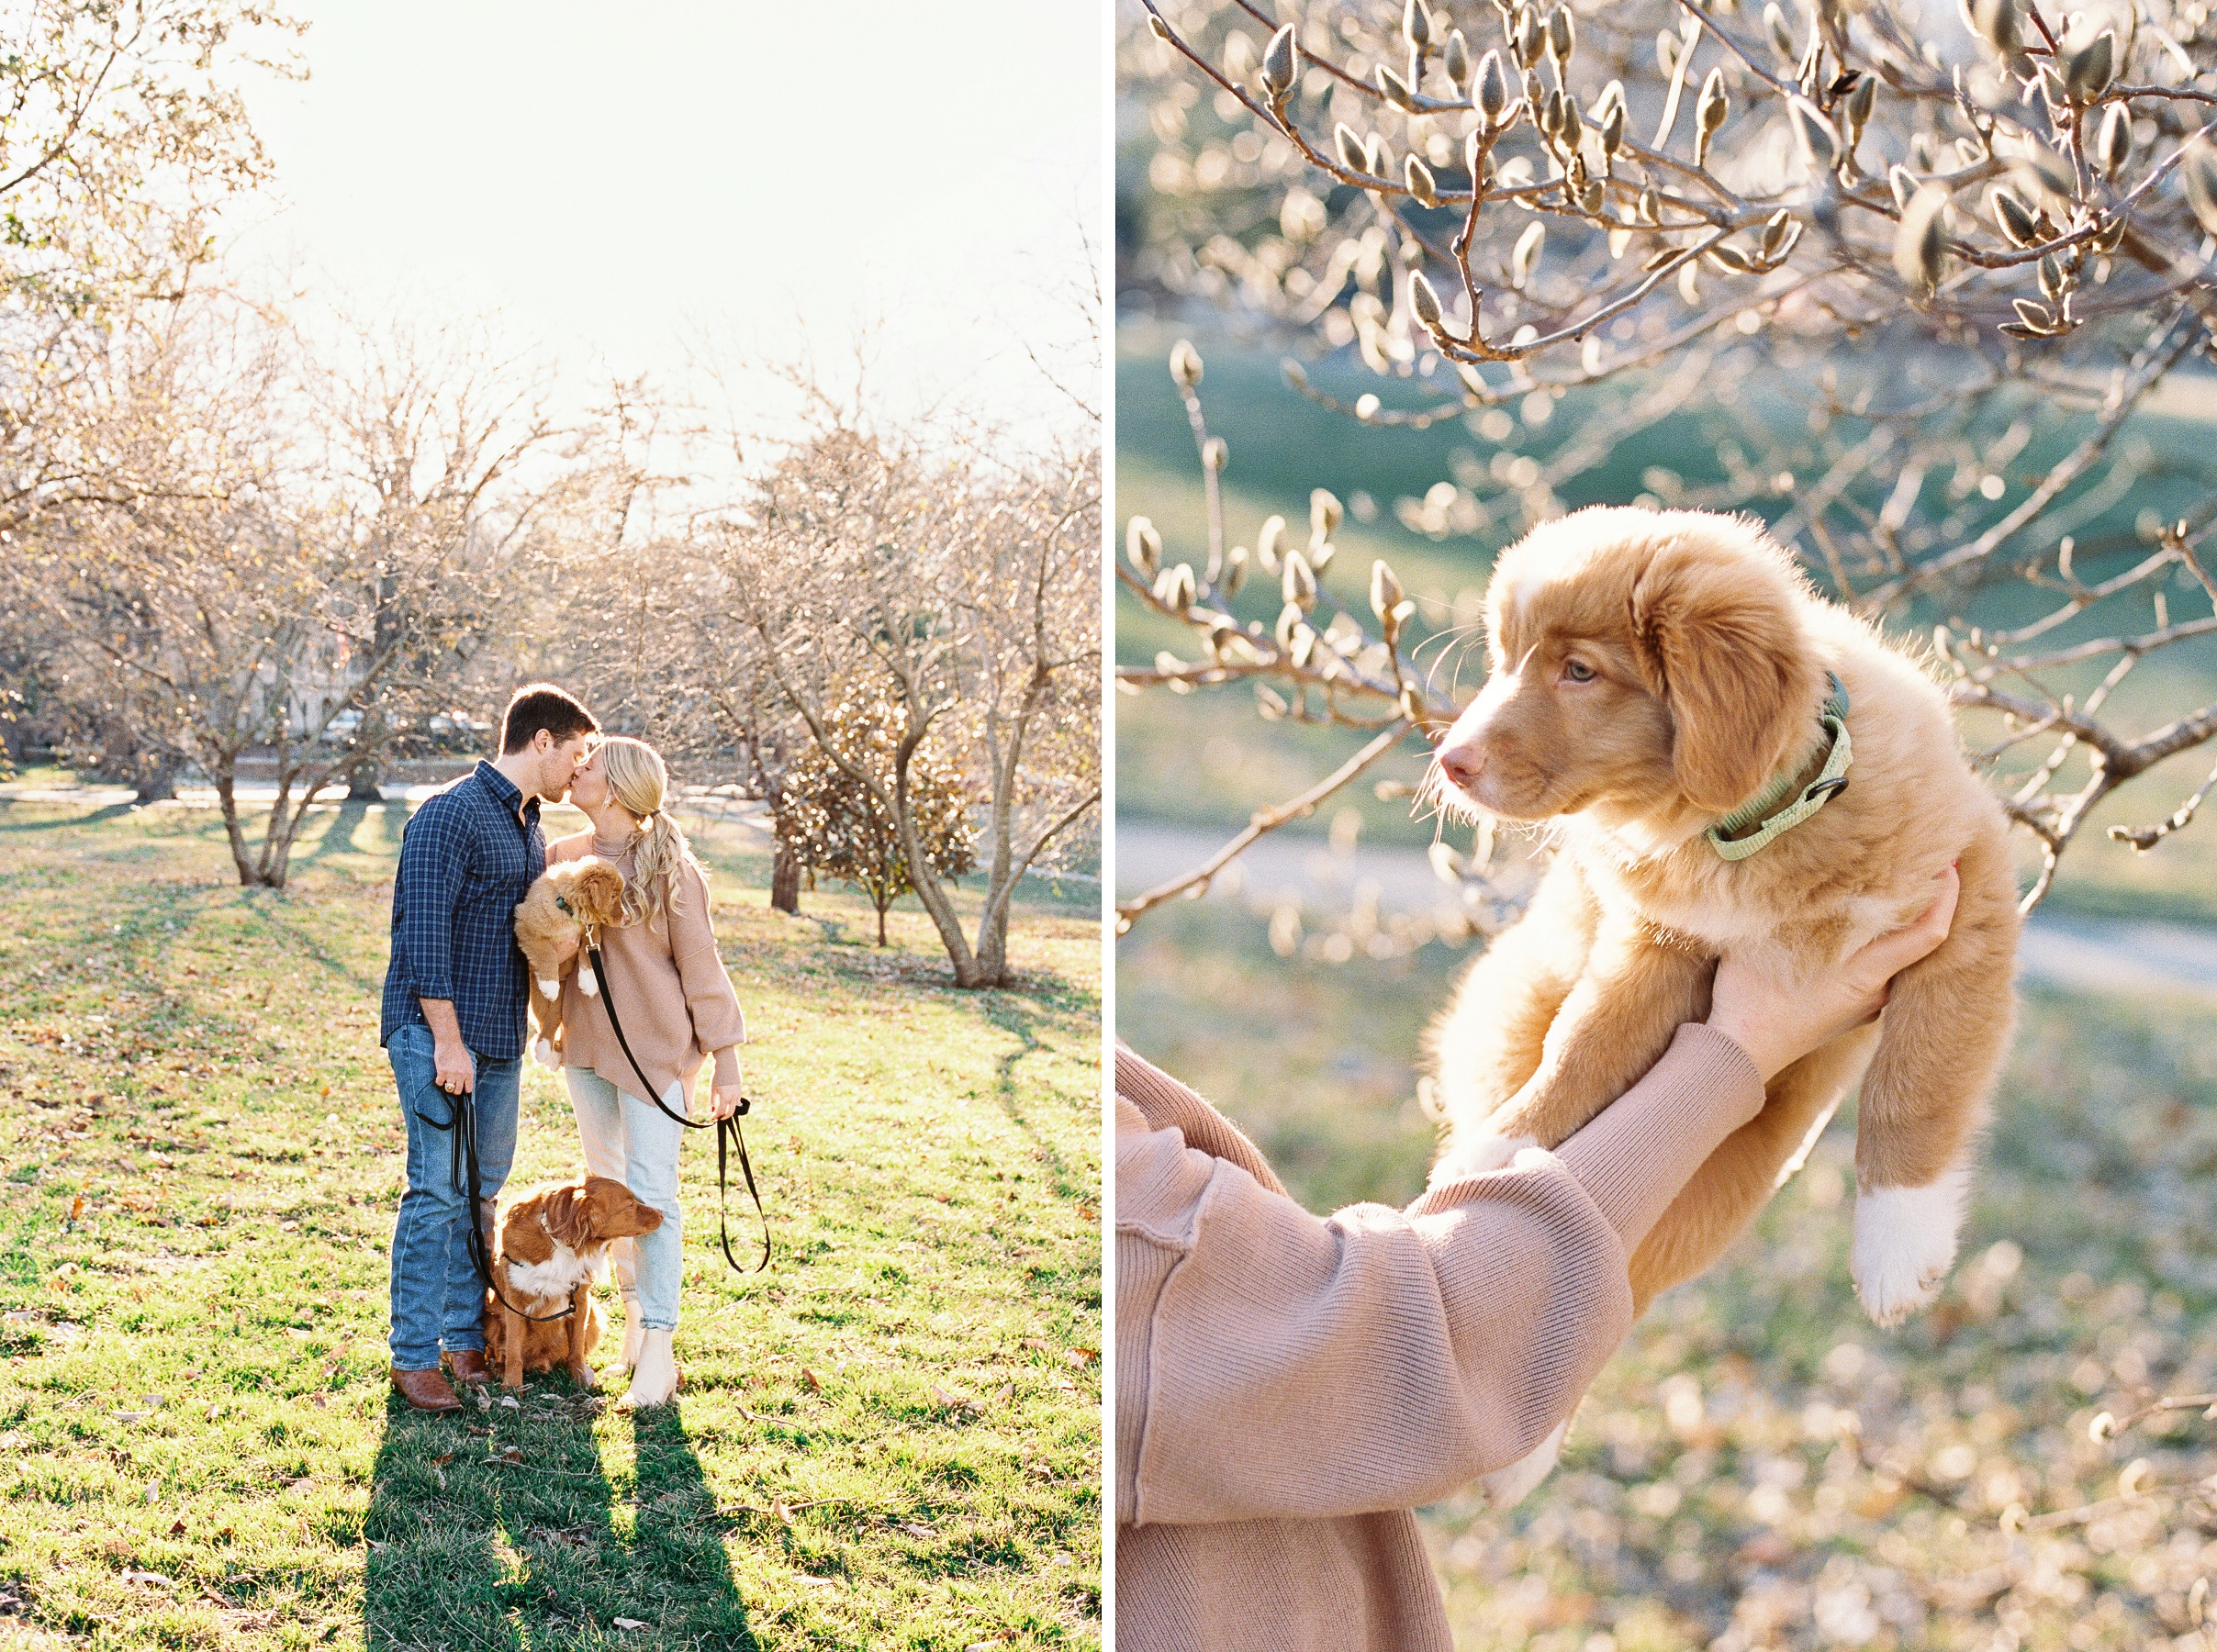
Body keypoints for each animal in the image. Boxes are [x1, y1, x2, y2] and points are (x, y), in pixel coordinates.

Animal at [481, 1170, 660, 1392]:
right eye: (629, 1205)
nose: (662, 1214)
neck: (560, 1243)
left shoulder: (581, 1302)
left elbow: (576, 1350)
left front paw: (580, 1381)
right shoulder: (514, 1303)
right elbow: (513, 1351)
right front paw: (512, 1386)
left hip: (594, 1317)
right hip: (491, 1322)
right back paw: (498, 1368)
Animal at [509, 855, 625, 1077]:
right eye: (614, 896)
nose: (627, 918)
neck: (570, 911)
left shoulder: (592, 931)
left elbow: (587, 953)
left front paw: (589, 982)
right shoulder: (526, 928)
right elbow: (545, 953)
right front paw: (549, 983)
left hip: (559, 998)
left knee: (553, 1017)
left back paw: (549, 1051)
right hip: (537, 998)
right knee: (543, 1021)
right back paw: (546, 1051)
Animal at [1428, 503, 2021, 1330]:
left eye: (1578, 671)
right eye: (1503, 660)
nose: (1449, 761)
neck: (1757, 827)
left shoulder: (1968, 903)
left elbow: (1914, 1083)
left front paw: (1897, 1247)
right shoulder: (1657, 942)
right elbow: (1583, 1044)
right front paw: (1493, 1151)